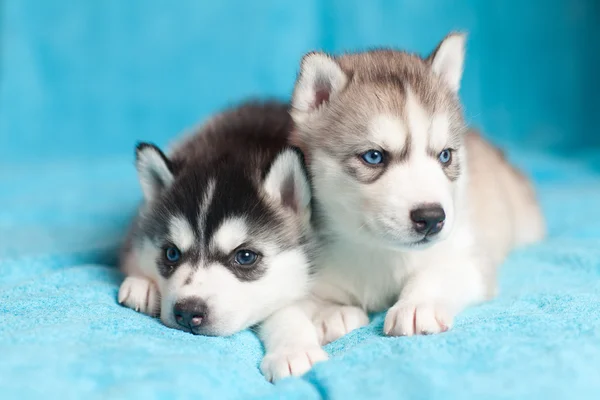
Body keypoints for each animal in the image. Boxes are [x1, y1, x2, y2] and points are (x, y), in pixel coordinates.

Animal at [260, 33, 548, 382]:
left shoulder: (470, 257)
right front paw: (295, 349)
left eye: (445, 155)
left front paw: (418, 305)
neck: (378, 251)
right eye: (374, 156)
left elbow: (439, 273)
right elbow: (281, 312)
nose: (432, 218)